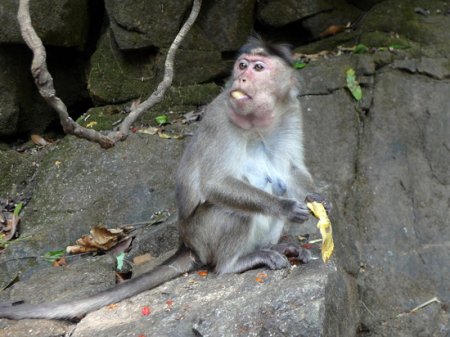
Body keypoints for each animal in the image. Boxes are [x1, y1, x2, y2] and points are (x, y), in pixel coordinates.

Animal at [0, 36, 328, 320]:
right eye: (242, 66)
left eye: (258, 68)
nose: (242, 79)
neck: (257, 120)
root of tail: (187, 244)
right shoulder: (220, 116)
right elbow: (216, 185)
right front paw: (286, 207)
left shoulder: (291, 112)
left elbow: (292, 169)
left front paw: (317, 198)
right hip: (203, 235)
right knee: (233, 211)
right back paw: (236, 262)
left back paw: (278, 246)